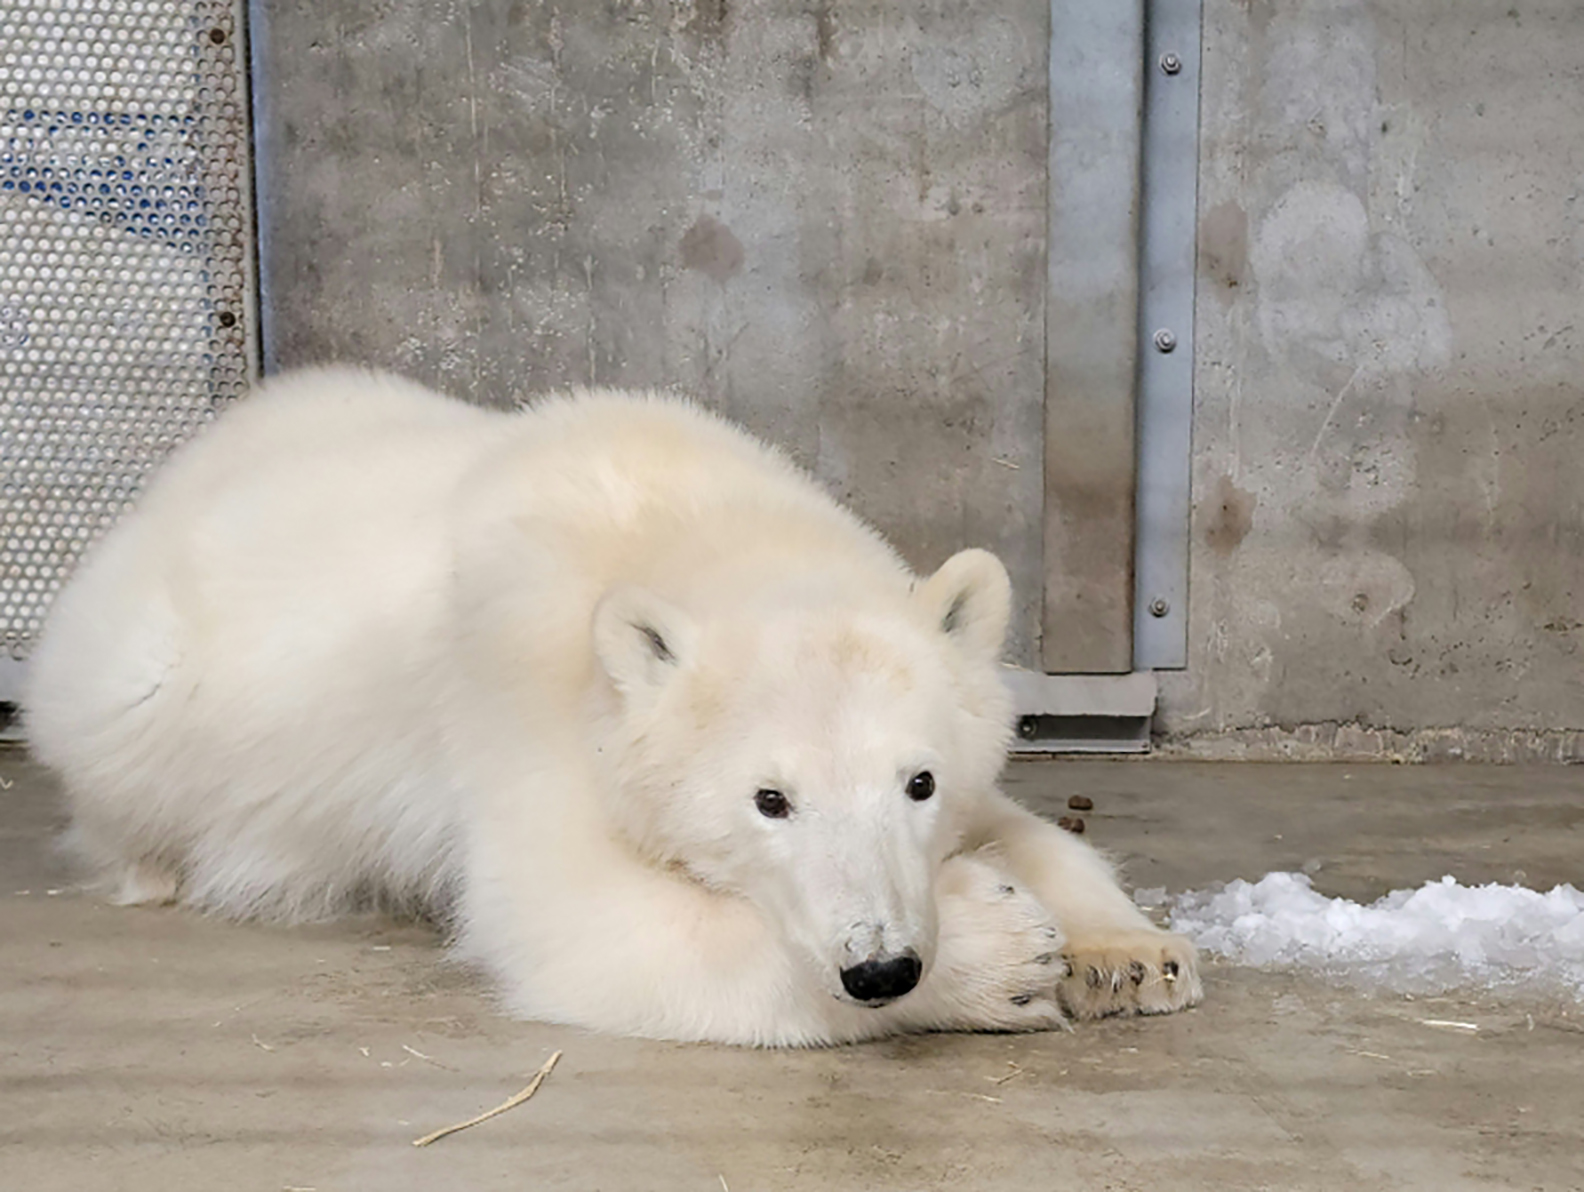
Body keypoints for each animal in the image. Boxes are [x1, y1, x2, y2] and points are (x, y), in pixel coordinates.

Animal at [24, 367, 1201, 1045]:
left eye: (919, 780)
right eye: (769, 799)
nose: (880, 965)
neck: (680, 519)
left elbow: (1022, 823)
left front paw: (1127, 955)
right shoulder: (519, 696)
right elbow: (580, 922)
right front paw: (1001, 955)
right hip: (136, 700)